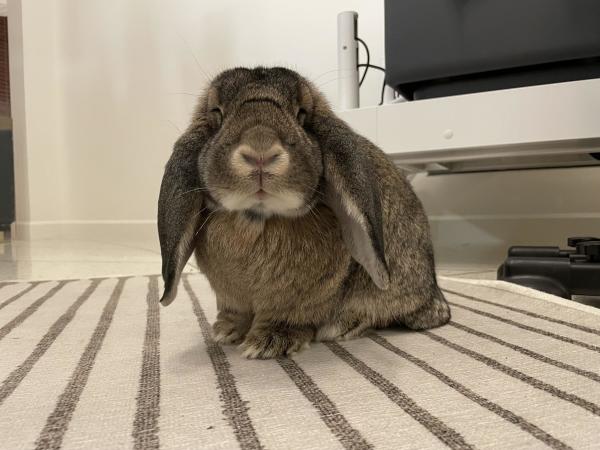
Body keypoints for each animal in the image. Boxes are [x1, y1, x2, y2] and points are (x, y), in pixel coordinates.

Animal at [159, 67, 450, 360]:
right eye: (217, 113)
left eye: (301, 114)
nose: (260, 150)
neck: (259, 219)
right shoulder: (231, 299)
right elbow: (235, 314)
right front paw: (225, 332)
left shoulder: (300, 299)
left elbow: (289, 316)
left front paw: (268, 342)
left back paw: (343, 326)